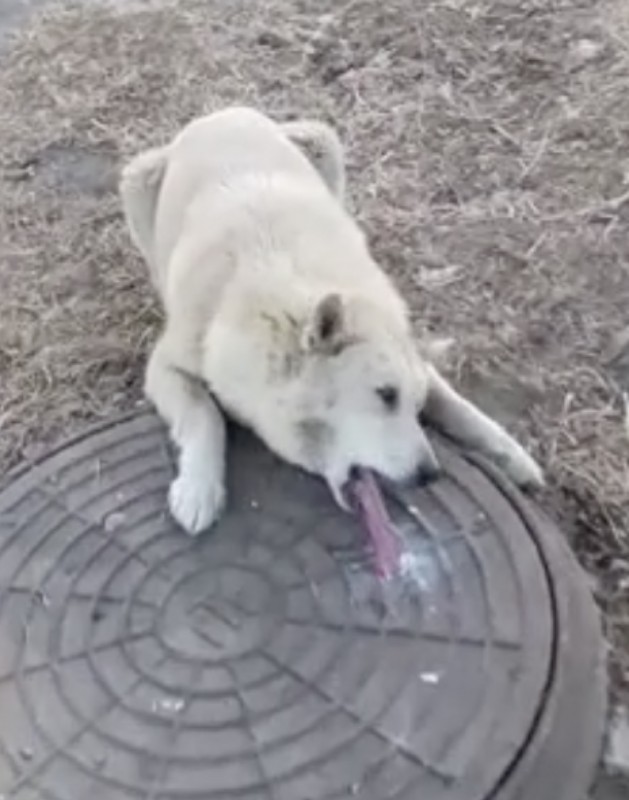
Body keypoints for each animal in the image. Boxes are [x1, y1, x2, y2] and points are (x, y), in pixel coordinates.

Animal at [120, 103, 544, 536]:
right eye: (385, 395)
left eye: (414, 403)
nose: (431, 475)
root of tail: (224, 112)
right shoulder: (166, 365)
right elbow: (204, 415)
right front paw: (198, 490)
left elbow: (456, 404)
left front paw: (511, 455)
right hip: (137, 182)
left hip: (324, 145)